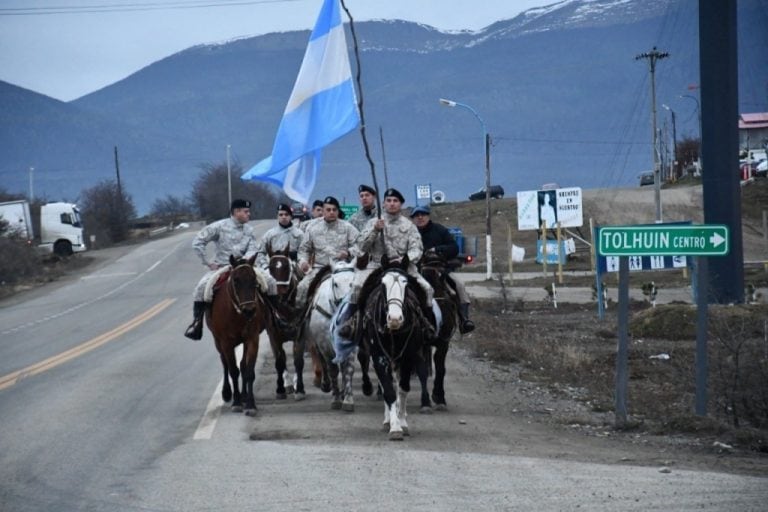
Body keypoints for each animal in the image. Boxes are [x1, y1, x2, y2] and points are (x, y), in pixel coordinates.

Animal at [206, 253, 268, 416]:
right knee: (225, 363)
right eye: (236, 280)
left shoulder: (252, 338)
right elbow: (233, 370)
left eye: (254, 280)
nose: (250, 310)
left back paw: (244, 395)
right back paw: (228, 392)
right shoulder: (226, 342)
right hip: (217, 341)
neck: (237, 314)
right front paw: (237, 402)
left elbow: (248, 370)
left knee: (242, 365)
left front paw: (250, 404)